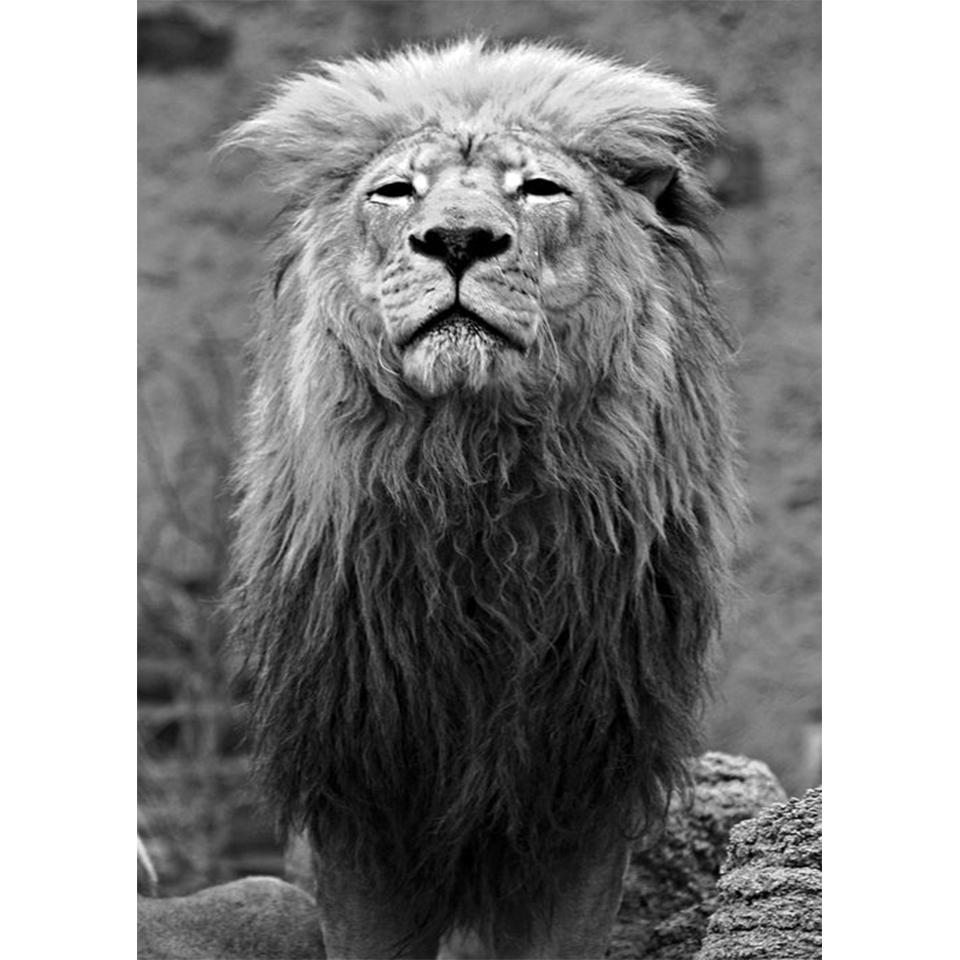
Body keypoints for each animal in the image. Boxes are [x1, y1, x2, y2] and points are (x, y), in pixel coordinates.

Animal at [224, 39, 740, 959]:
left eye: (538, 188)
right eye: (396, 191)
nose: (458, 239)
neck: (474, 478)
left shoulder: (583, 787)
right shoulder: (362, 787)